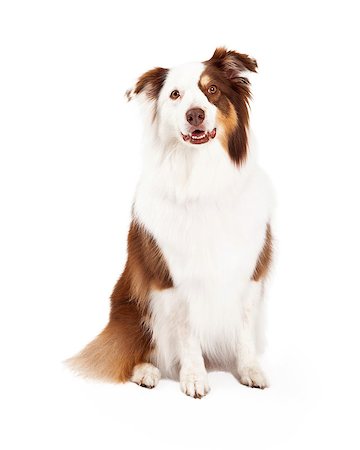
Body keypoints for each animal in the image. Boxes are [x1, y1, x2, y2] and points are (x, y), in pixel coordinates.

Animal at [67, 48, 274, 398]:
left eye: (212, 90)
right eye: (175, 95)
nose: (195, 115)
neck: (203, 178)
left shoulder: (249, 272)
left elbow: (244, 330)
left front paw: (250, 370)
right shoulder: (171, 277)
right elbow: (187, 333)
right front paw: (194, 377)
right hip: (135, 310)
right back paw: (147, 372)